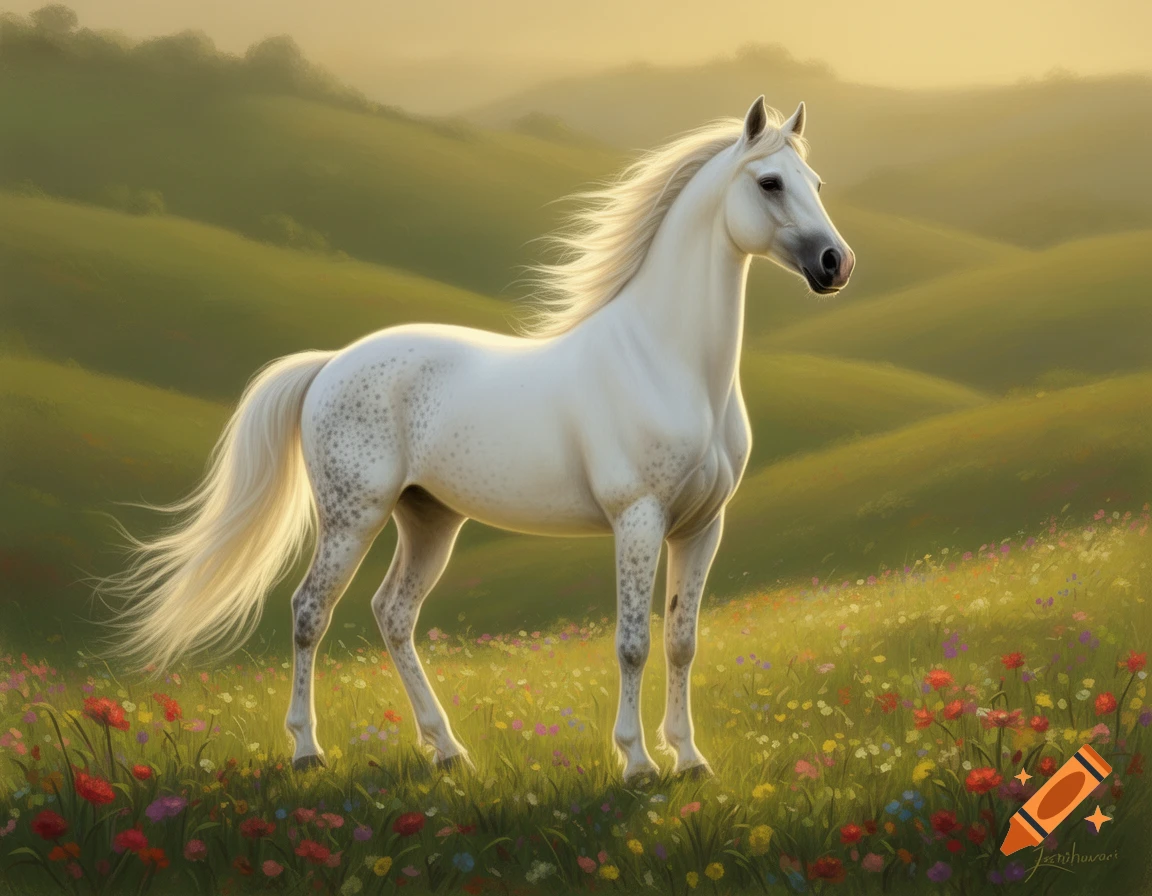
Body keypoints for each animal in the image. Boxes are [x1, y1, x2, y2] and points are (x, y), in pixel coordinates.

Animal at [106, 96, 854, 782]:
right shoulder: (637, 518)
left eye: (817, 183)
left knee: (392, 614)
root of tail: (329, 364)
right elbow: (633, 643)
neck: (668, 362)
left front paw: (692, 760)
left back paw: (446, 749)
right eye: (769, 183)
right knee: (309, 611)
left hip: (429, 519)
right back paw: (308, 750)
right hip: (353, 515)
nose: (835, 264)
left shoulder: (700, 526)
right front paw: (639, 763)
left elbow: (682, 642)